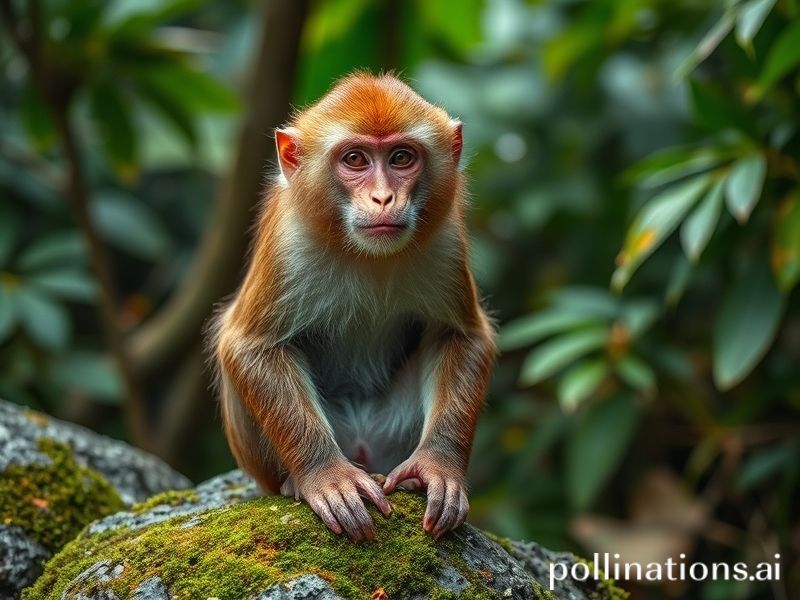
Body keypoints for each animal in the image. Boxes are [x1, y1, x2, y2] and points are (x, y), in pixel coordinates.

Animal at [209, 72, 496, 542]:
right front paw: (326, 476)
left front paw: (437, 467)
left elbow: (460, 335)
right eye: (356, 159)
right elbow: (250, 345)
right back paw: (294, 482)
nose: (383, 199)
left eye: (401, 158)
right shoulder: (287, 242)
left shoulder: (446, 239)